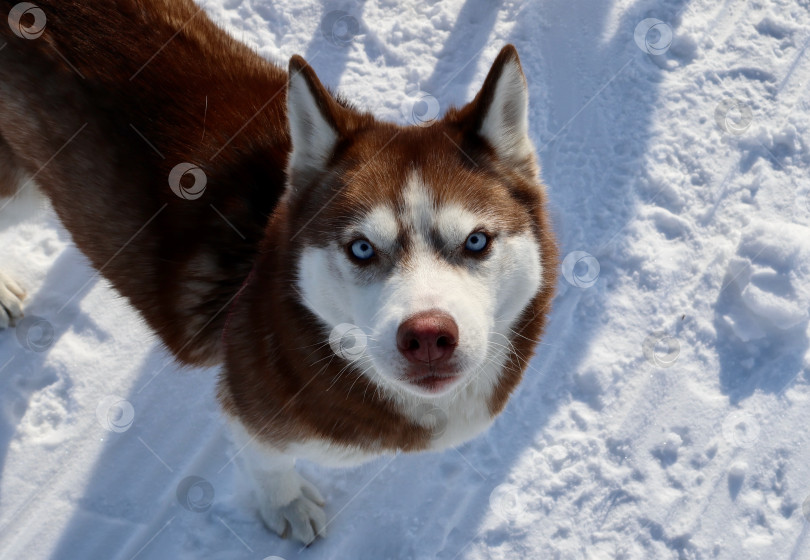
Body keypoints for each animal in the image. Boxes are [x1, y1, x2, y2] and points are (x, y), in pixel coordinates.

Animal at [0, 0, 556, 544]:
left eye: (476, 241)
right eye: (361, 248)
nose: (427, 338)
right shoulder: (250, 405)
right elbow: (268, 461)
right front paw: (284, 504)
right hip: (17, 190)